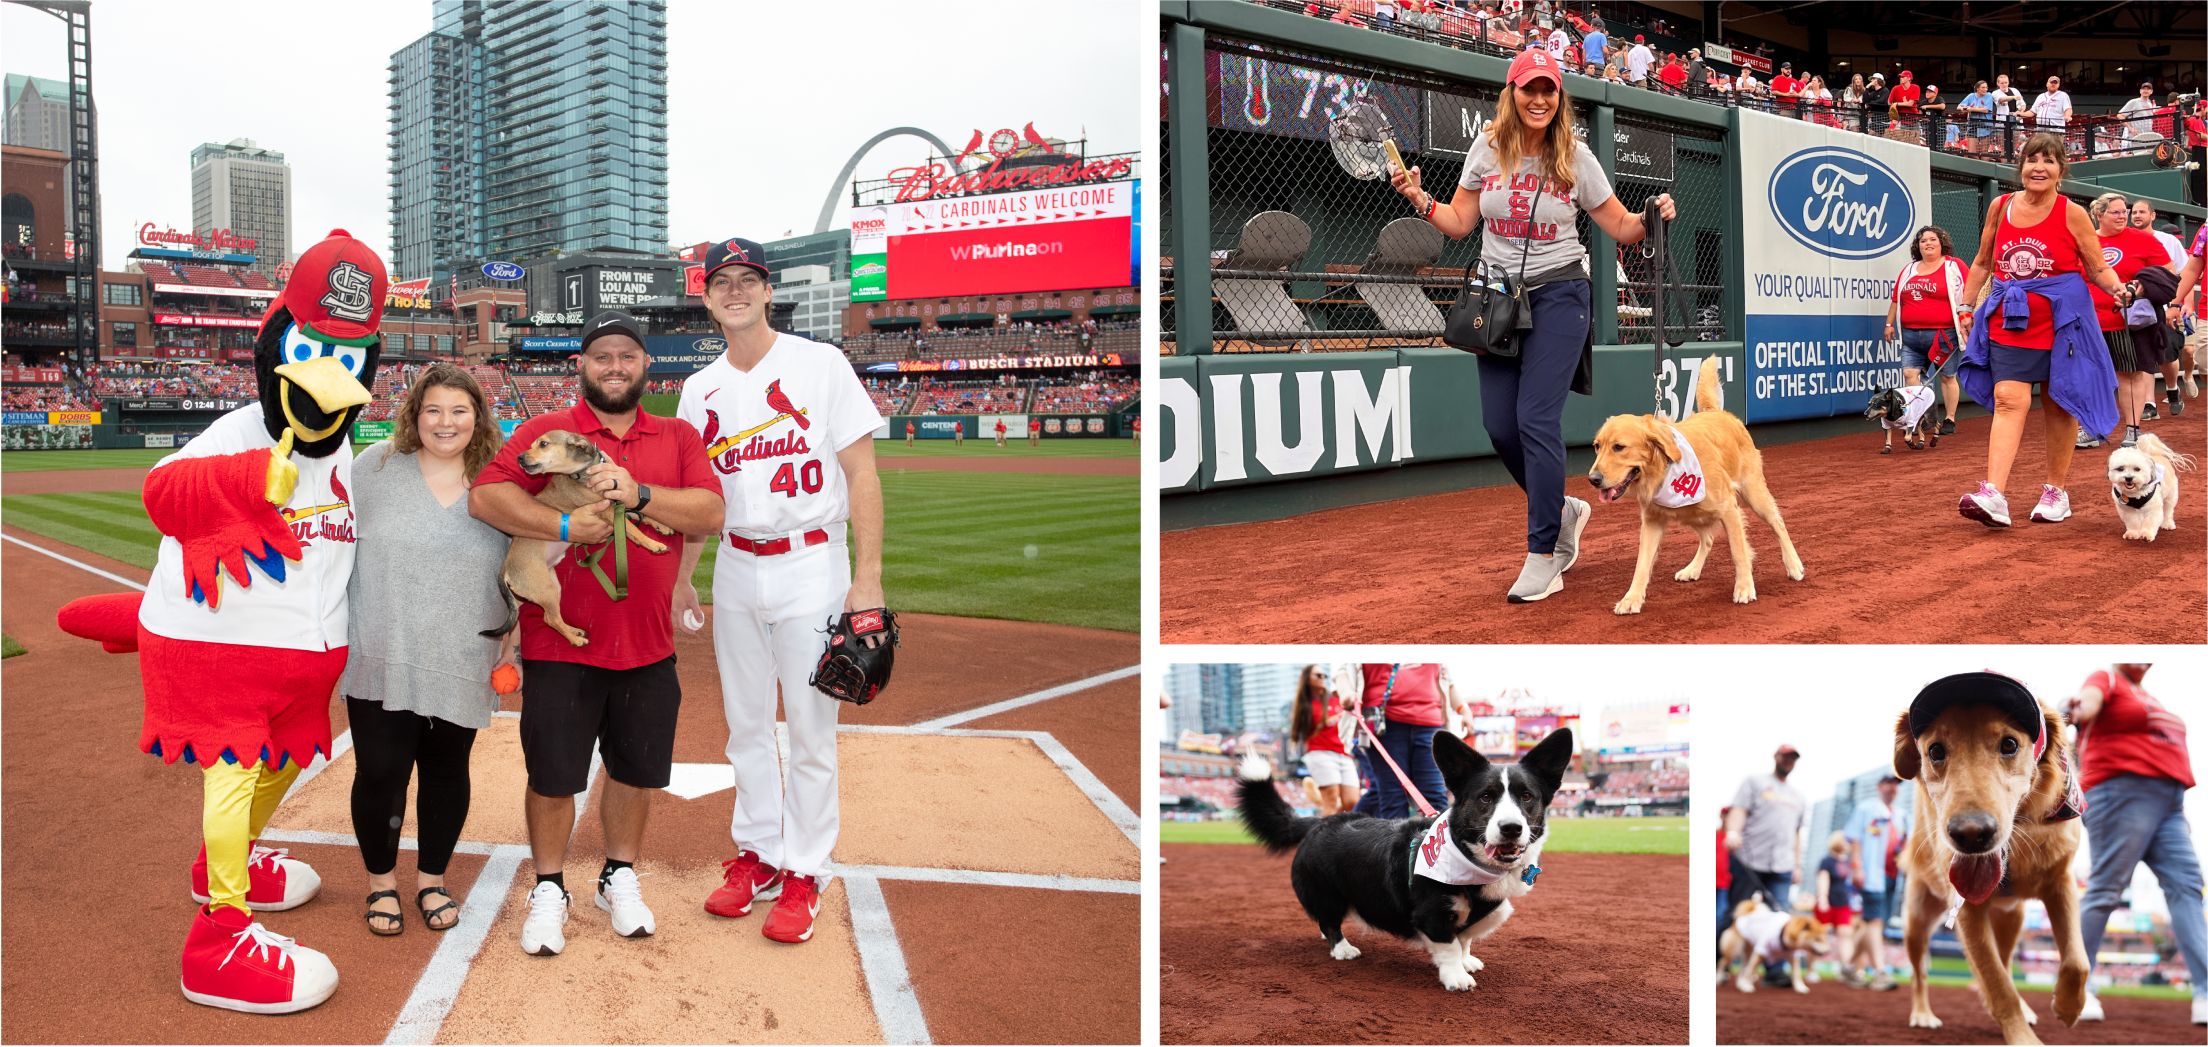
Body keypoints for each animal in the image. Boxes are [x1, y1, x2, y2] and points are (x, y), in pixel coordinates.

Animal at [487, 426, 675, 640]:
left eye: (543, 444)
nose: (519, 457)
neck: (584, 473)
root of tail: (505, 569)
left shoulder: (617, 502)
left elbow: (641, 513)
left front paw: (662, 526)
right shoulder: (607, 511)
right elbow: (632, 527)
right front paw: (653, 544)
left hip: (553, 585)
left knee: (552, 618)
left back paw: (574, 631)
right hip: (545, 589)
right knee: (551, 619)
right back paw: (576, 640)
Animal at [1898, 675, 2084, 1042]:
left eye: (2009, 744)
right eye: (1935, 751)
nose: (1971, 834)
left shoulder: (2062, 881)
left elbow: (2076, 960)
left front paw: (2068, 1007)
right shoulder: (1968, 911)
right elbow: (1997, 984)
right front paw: (2023, 1040)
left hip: (2013, 919)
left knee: (2008, 961)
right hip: (1916, 920)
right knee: (1920, 973)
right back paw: (1922, 1013)